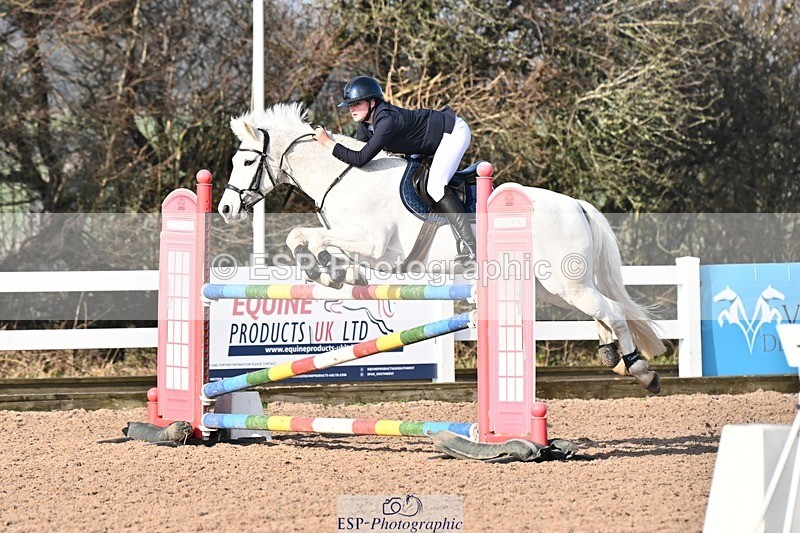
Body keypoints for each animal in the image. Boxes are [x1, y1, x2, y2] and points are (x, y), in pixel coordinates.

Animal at [217, 102, 664, 394]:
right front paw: (328, 272)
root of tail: (577, 205)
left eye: (246, 163)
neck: (344, 177)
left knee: (614, 310)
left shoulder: (376, 244)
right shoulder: (360, 246)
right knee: (602, 310)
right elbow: (310, 241)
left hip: (562, 282)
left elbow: (307, 235)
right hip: (556, 285)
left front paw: (319, 267)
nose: (224, 208)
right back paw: (610, 356)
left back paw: (640, 370)